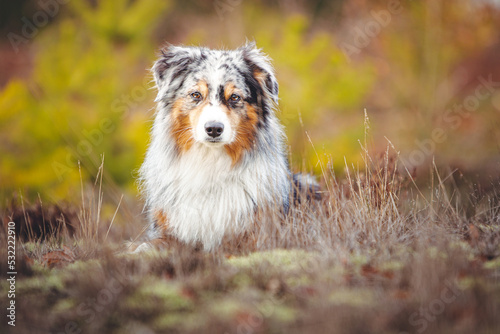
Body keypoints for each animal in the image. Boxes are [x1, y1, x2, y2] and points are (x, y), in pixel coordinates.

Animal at [135, 41, 318, 252]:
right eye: (196, 95)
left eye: (235, 97)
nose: (214, 129)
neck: (210, 162)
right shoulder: (167, 229)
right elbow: (146, 246)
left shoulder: (259, 234)